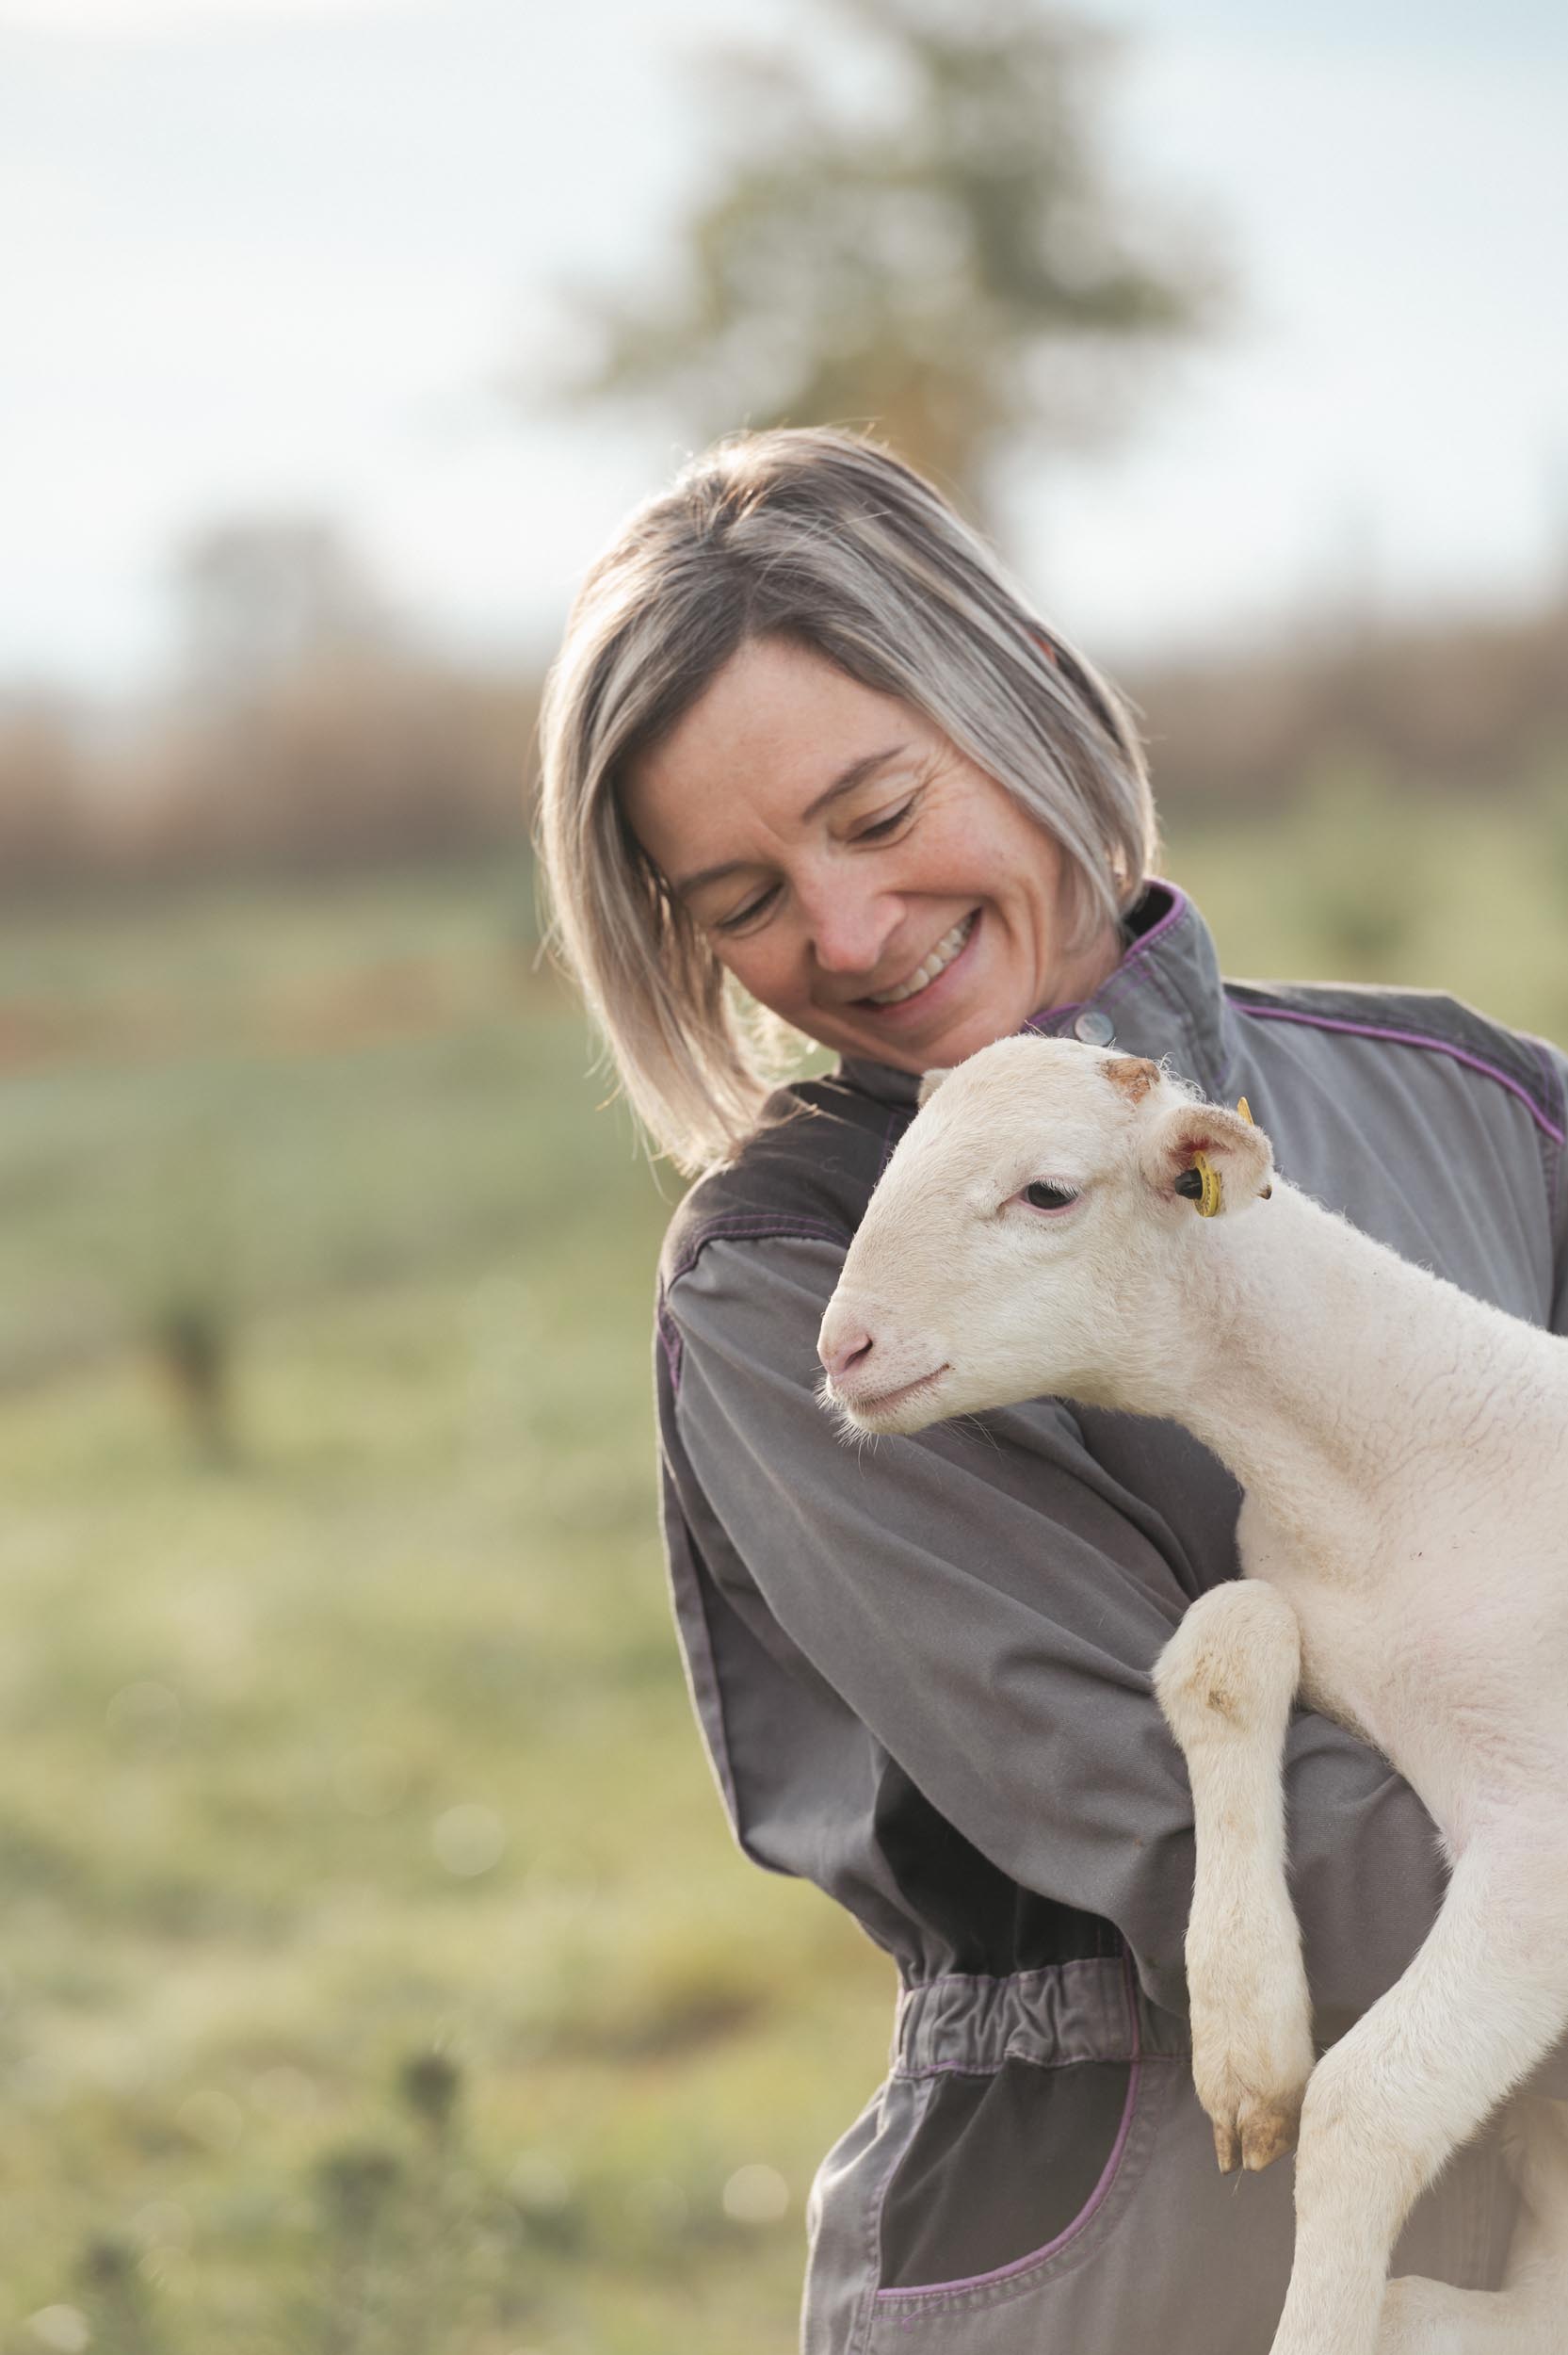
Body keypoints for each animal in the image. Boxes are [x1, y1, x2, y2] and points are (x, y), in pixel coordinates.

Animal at [810, 1041, 1563, 2355]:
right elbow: (1223, 1637)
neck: (1378, 1484)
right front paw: (1245, 2041)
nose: (842, 1347)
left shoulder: (1546, 1836)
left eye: (1047, 1193)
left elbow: (1367, 2106)